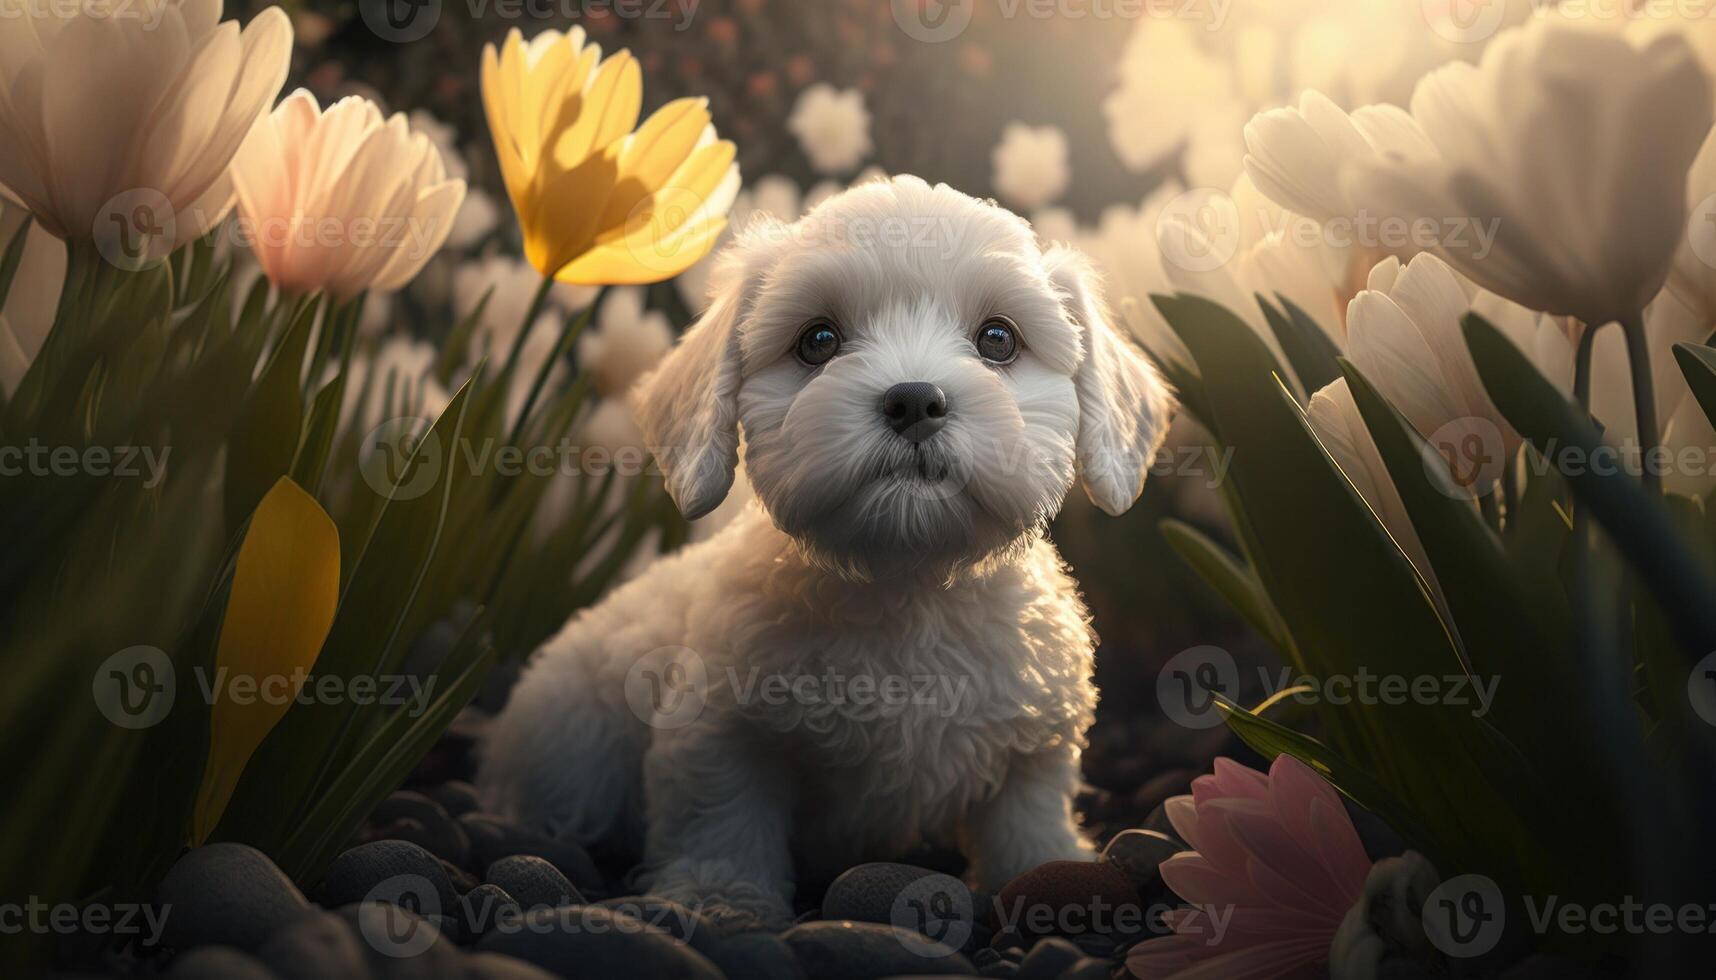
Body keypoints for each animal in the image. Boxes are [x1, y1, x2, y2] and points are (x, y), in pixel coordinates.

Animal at [483, 178, 1180, 926]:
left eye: (999, 338)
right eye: (818, 341)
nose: (914, 400)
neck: (908, 585)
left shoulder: (1036, 731)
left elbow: (1027, 812)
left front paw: (1047, 869)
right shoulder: (721, 728)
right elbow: (723, 811)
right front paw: (721, 897)